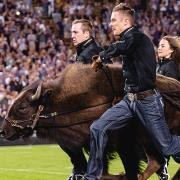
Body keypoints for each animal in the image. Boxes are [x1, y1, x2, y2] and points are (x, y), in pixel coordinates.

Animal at [0, 64, 180, 179]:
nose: (3, 130)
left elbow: (126, 171)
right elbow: (101, 172)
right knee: (156, 163)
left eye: (23, 106)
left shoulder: (126, 148)